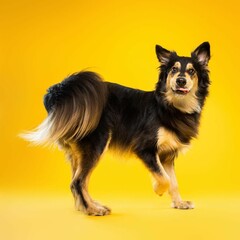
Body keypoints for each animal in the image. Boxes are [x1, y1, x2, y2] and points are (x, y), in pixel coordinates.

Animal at [22, 42, 210, 216]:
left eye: (192, 71)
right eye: (173, 70)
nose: (180, 80)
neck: (170, 106)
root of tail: (60, 95)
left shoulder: (167, 155)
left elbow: (173, 181)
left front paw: (179, 203)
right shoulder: (145, 148)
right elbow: (165, 178)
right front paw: (158, 188)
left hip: (78, 153)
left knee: (77, 182)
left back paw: (88, 207)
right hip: (97, 144)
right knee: (78, 181)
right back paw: (92, 209)